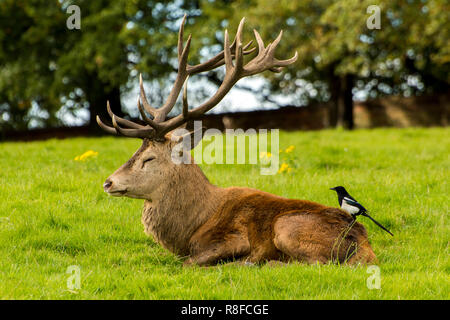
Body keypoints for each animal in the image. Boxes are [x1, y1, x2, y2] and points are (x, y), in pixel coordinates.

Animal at [97, 16, 376, 266]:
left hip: (287, 226)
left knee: (317, 263)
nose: (108, 182)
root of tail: (364, 244)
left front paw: (242, 261)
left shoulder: (231, 239)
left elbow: (190, 263)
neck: (191, 227)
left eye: (149, 158)